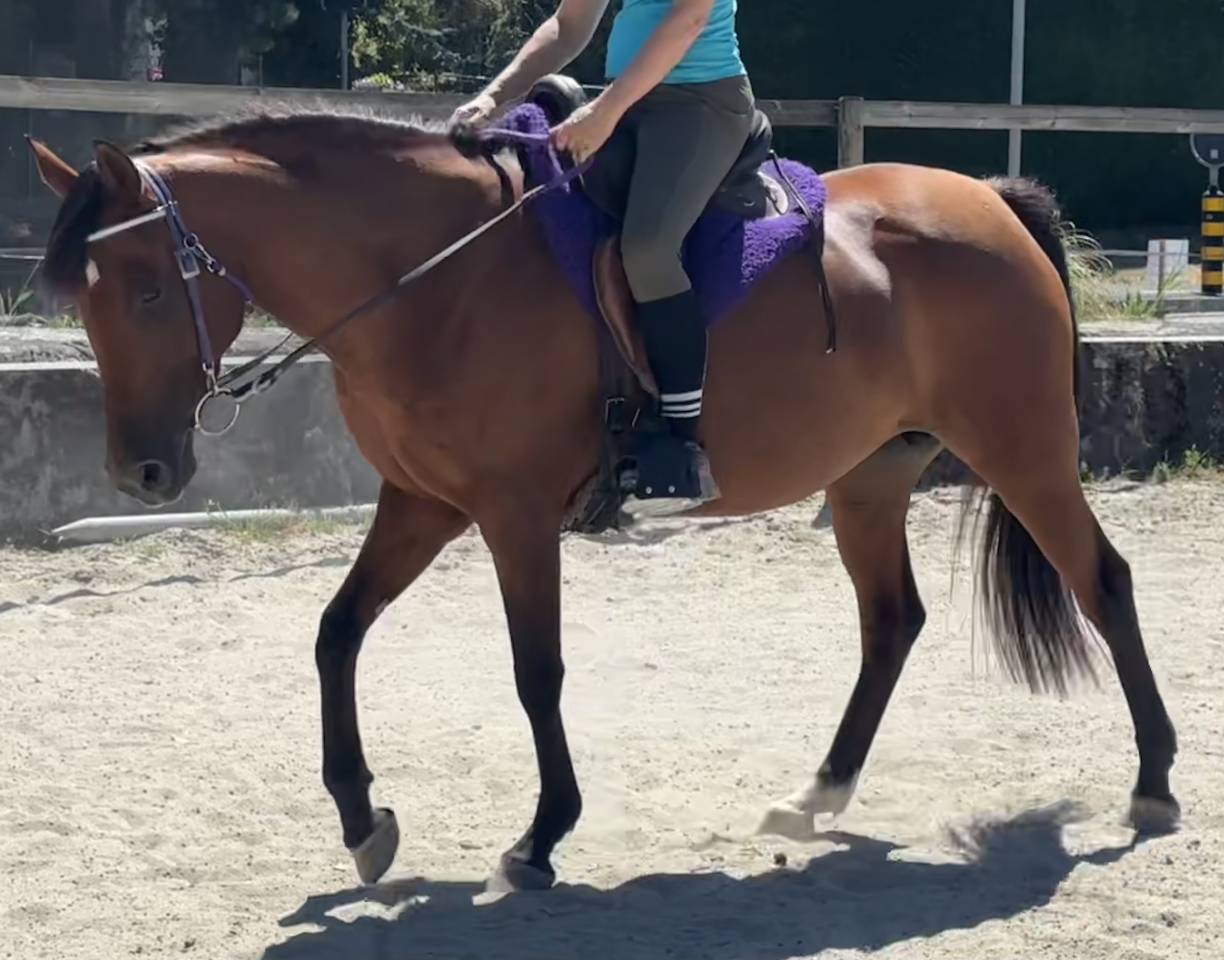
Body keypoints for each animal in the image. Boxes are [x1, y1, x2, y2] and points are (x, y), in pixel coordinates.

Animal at [27, 101, 1179, 892]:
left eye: (145, 291)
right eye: (82, 302)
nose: (141, 474)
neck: (433, 281)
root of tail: (990, 201)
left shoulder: (513, 515)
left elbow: (536, 672)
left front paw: (540, 838)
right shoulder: (420, 501)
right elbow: (335, 633)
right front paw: (362, 822)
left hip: (1022, 450)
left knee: (1107, 584)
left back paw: (1154, 782)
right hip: (867, 477)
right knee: (893, 621)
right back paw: (816, 793)